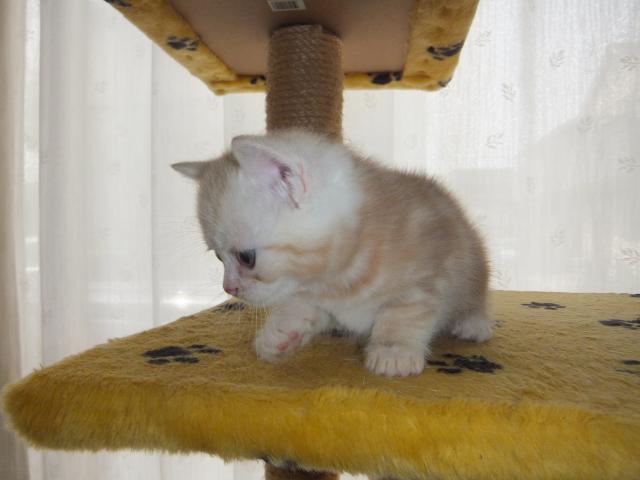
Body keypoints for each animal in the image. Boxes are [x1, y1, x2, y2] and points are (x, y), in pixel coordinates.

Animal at [172, 130, 492, 377]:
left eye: (246, 258)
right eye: (218, 257)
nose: (230, 288)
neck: (337, 278)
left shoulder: (426, 274)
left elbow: (405, 312)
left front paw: (393, 350)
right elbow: (302, 306)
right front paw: (279, 333)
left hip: (473, 262)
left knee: (475, 296)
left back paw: (474, 323)